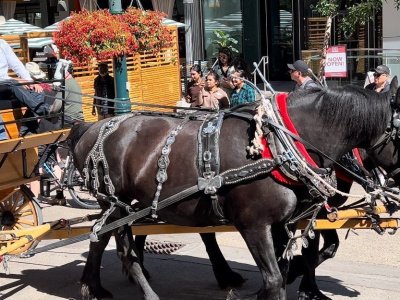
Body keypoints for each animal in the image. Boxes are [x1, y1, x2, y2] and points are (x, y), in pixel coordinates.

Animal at [69, 79, 400, 300]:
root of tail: (92, 128)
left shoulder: (283, 222)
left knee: (109, 240)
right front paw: (303, 286)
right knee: (112, 244)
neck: (278, 143)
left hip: (129, 204)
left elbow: (285, 269)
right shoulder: (255, 225)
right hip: (115, 202)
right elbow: (275, 279)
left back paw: (97, 285)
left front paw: (302, 283)